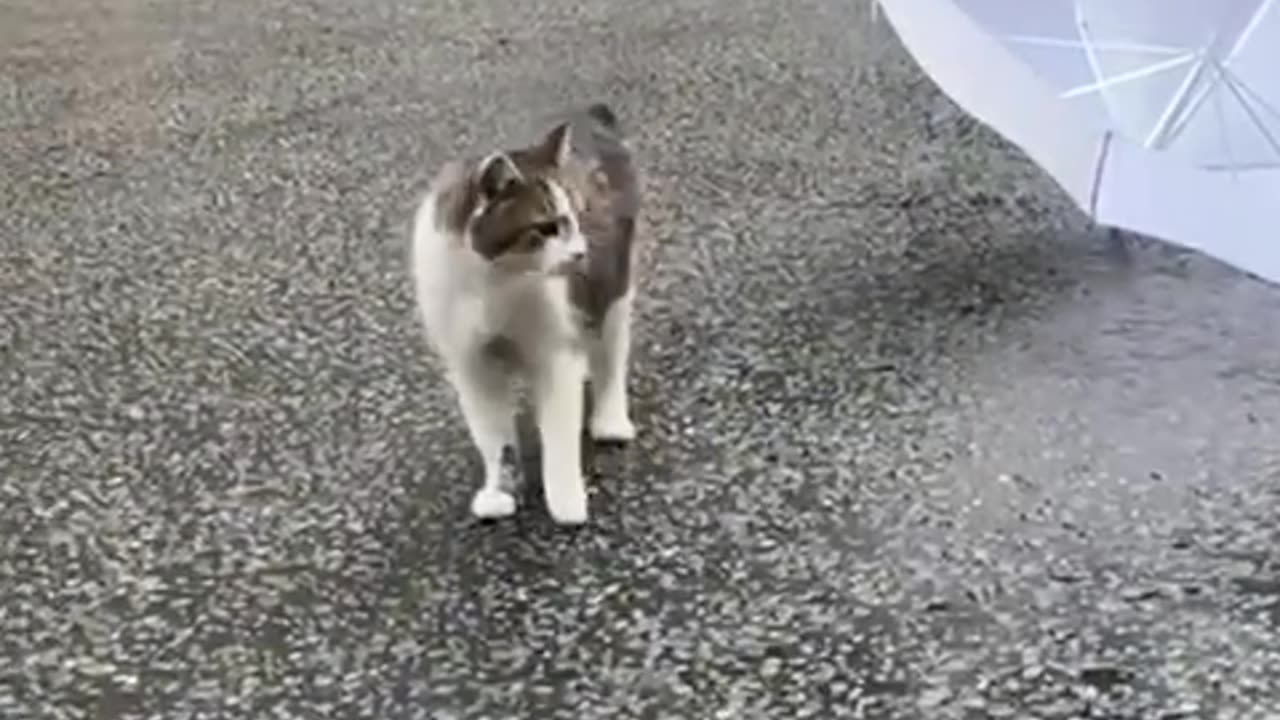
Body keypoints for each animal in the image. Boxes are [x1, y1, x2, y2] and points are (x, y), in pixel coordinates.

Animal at [414, 103, 645, 525]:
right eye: (547, 226)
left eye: (576, 215)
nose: (580, 253)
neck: (494, 284)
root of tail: (588, 113)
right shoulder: (472, 364)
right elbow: (493, 436)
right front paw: (499, 492)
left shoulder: (555, 354)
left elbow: (559, 432)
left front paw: (567, 500)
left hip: (614, 287)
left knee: (610, 355)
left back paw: (610, 421)